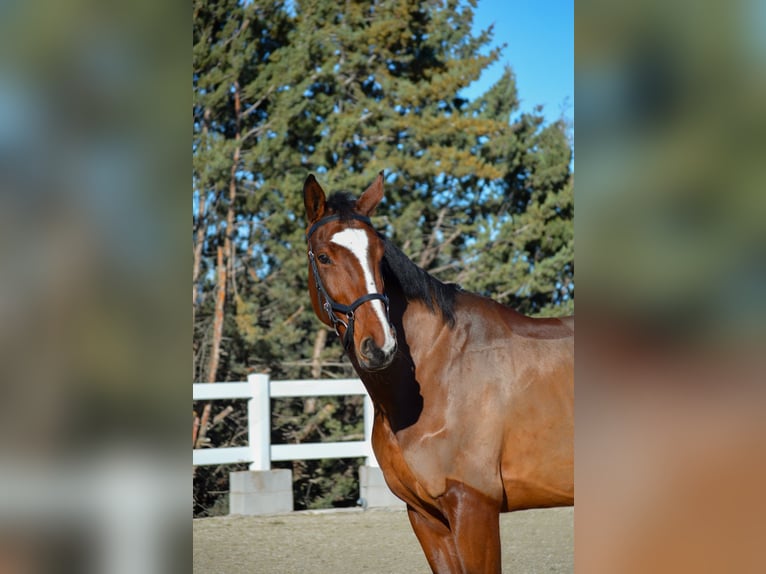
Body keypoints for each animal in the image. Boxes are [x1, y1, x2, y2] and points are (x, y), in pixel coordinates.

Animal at [304, 173, 572, 572]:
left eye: (379, 255)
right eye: (323, 257)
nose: (380, 345)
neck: (440, 371)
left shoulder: (473, 505)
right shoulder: (425, 516)